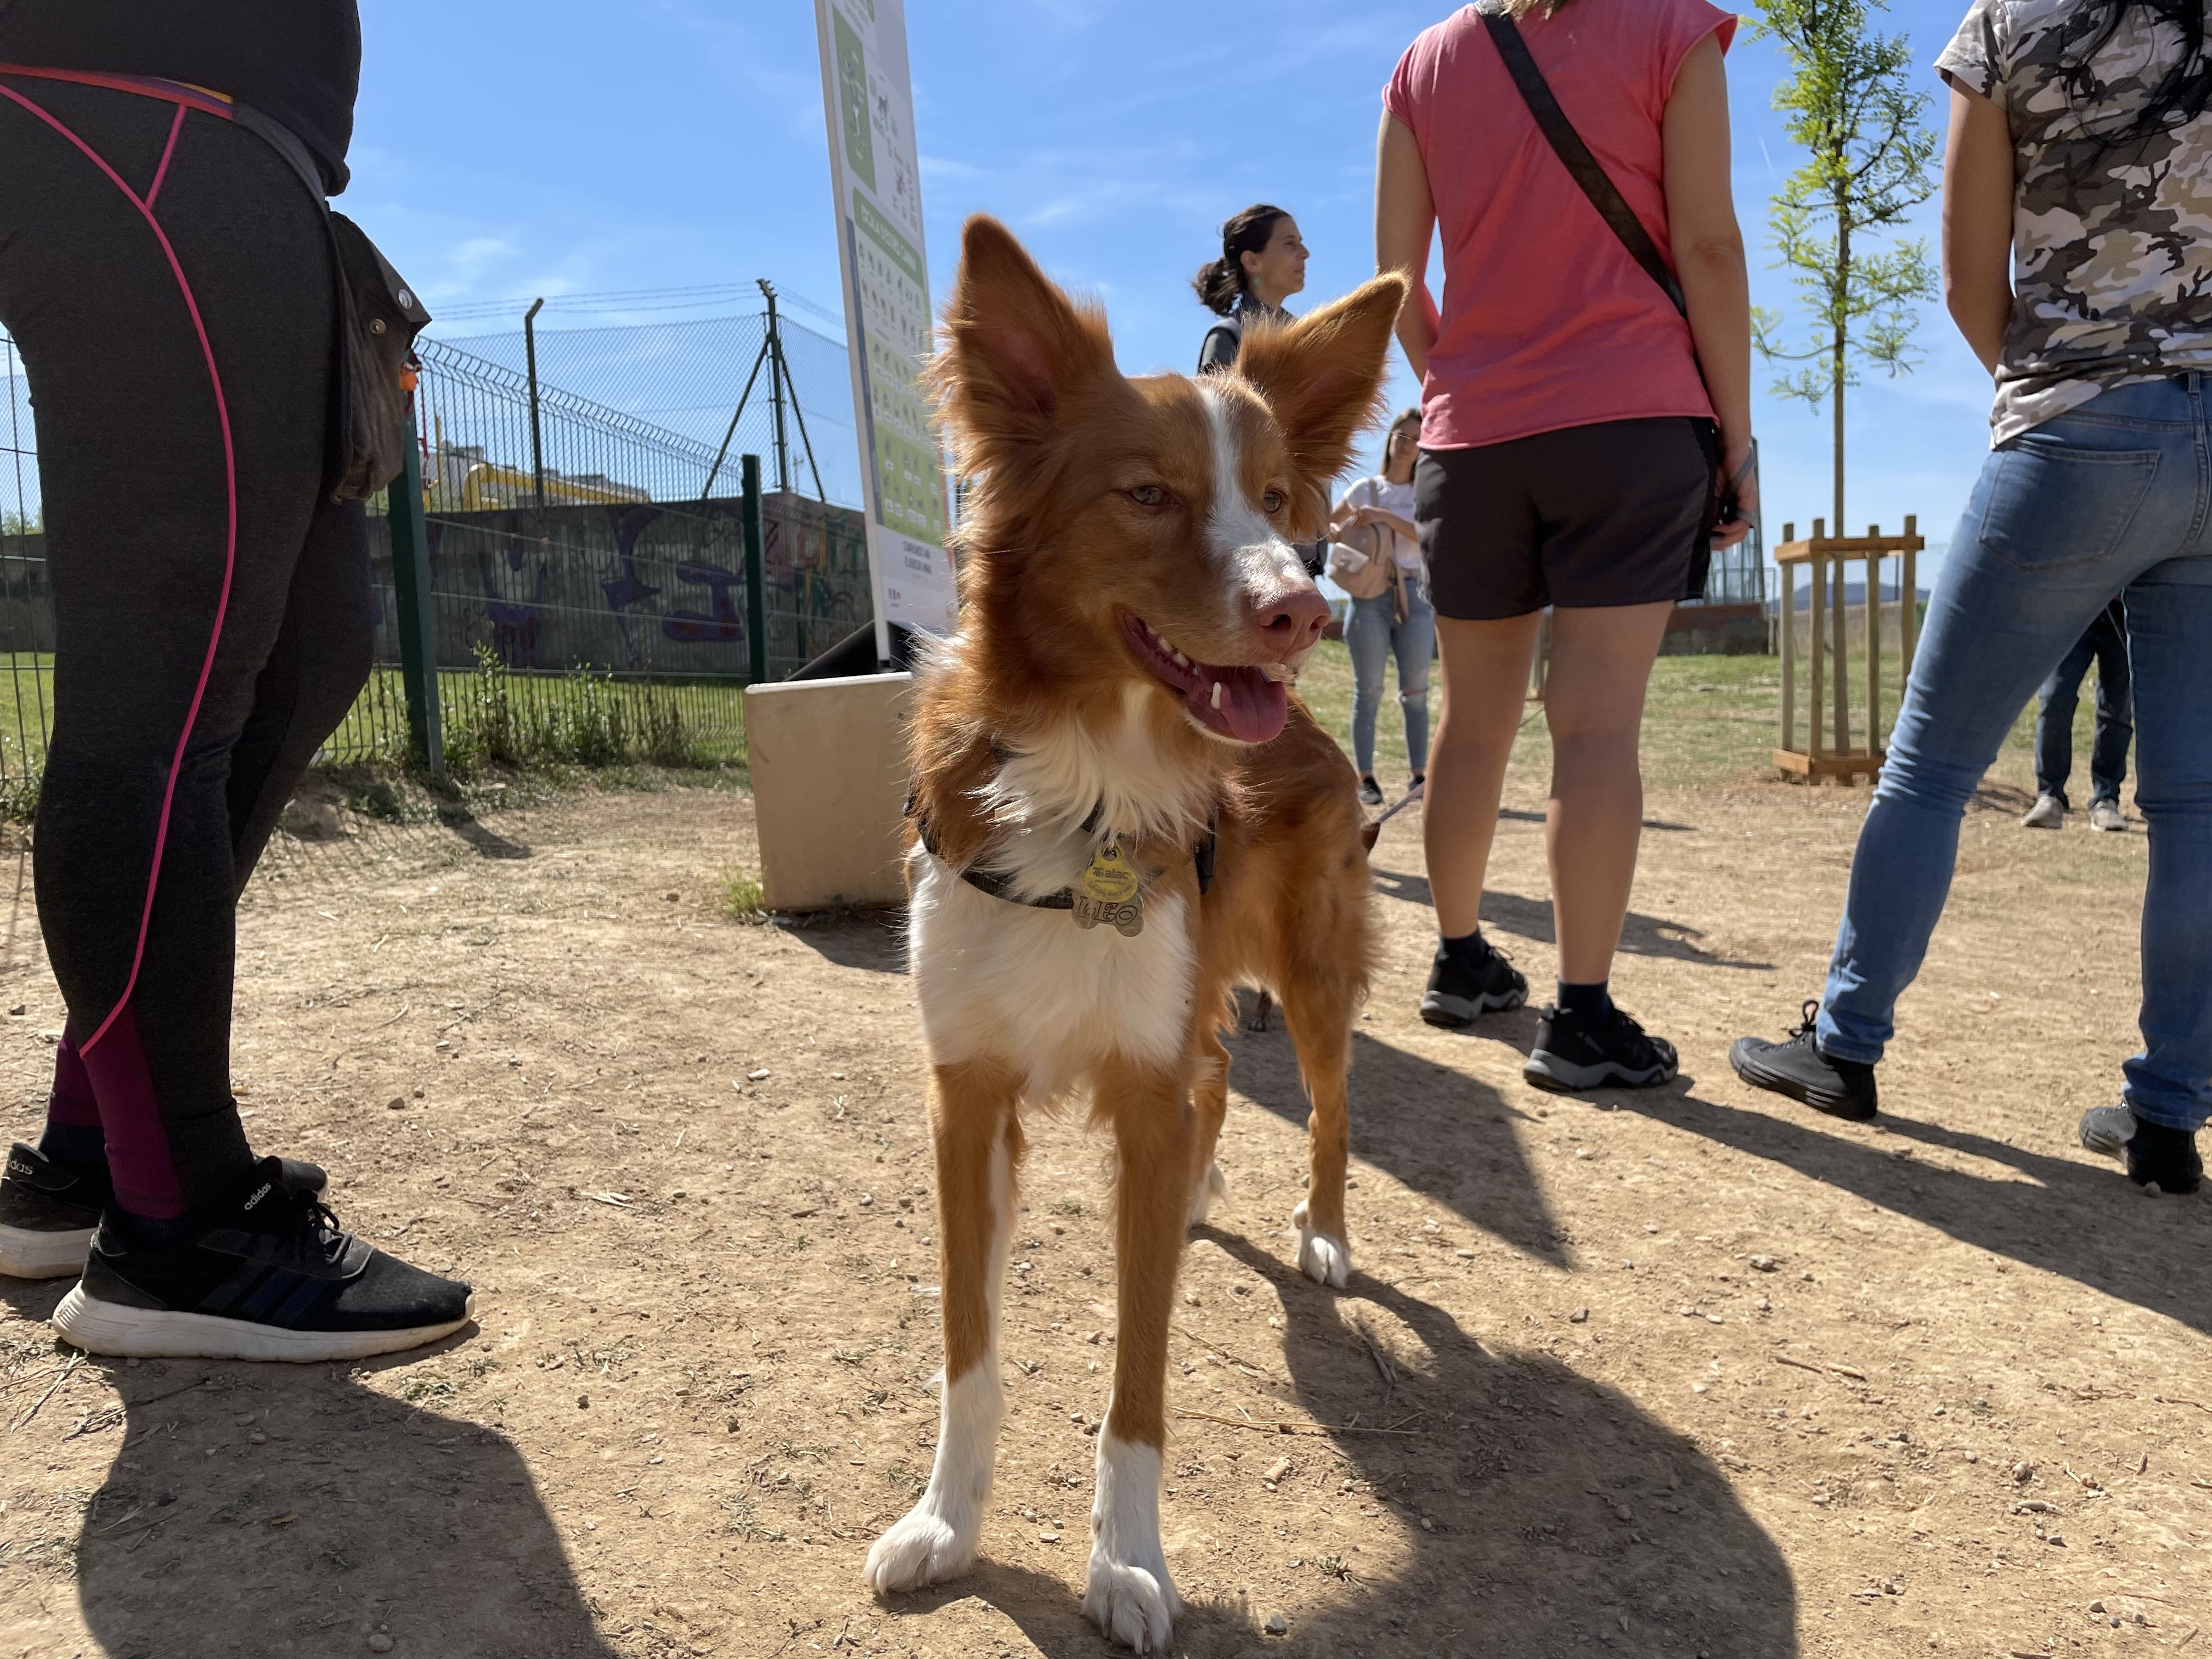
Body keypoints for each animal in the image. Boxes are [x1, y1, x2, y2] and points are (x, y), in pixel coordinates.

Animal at [862, 218, 1398, 1654]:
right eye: (1148, 494)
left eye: (1277, 500)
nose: (1303, 610)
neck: (1090, 785)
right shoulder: (967, 1091)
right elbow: (969, 1346)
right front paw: (945, 1522)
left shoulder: (1142, 1089)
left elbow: (1138, 1382)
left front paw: (1129, 1563)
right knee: (1221, 1082)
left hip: (1311, 978)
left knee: (1329, 1108)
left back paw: (1322, 1234)